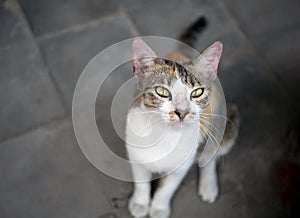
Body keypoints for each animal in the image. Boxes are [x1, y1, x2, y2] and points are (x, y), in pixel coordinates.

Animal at [125, 23, 238, 218]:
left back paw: (208, 185)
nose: (182, 112)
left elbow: (167, 188)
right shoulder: (135, 153)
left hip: (224, 120)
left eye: (197, 92)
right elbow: (141, 181)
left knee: (211, 154)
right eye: (162, 92)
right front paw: (140, 203)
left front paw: (159, 208)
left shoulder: (181, 166)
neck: (164, 134)